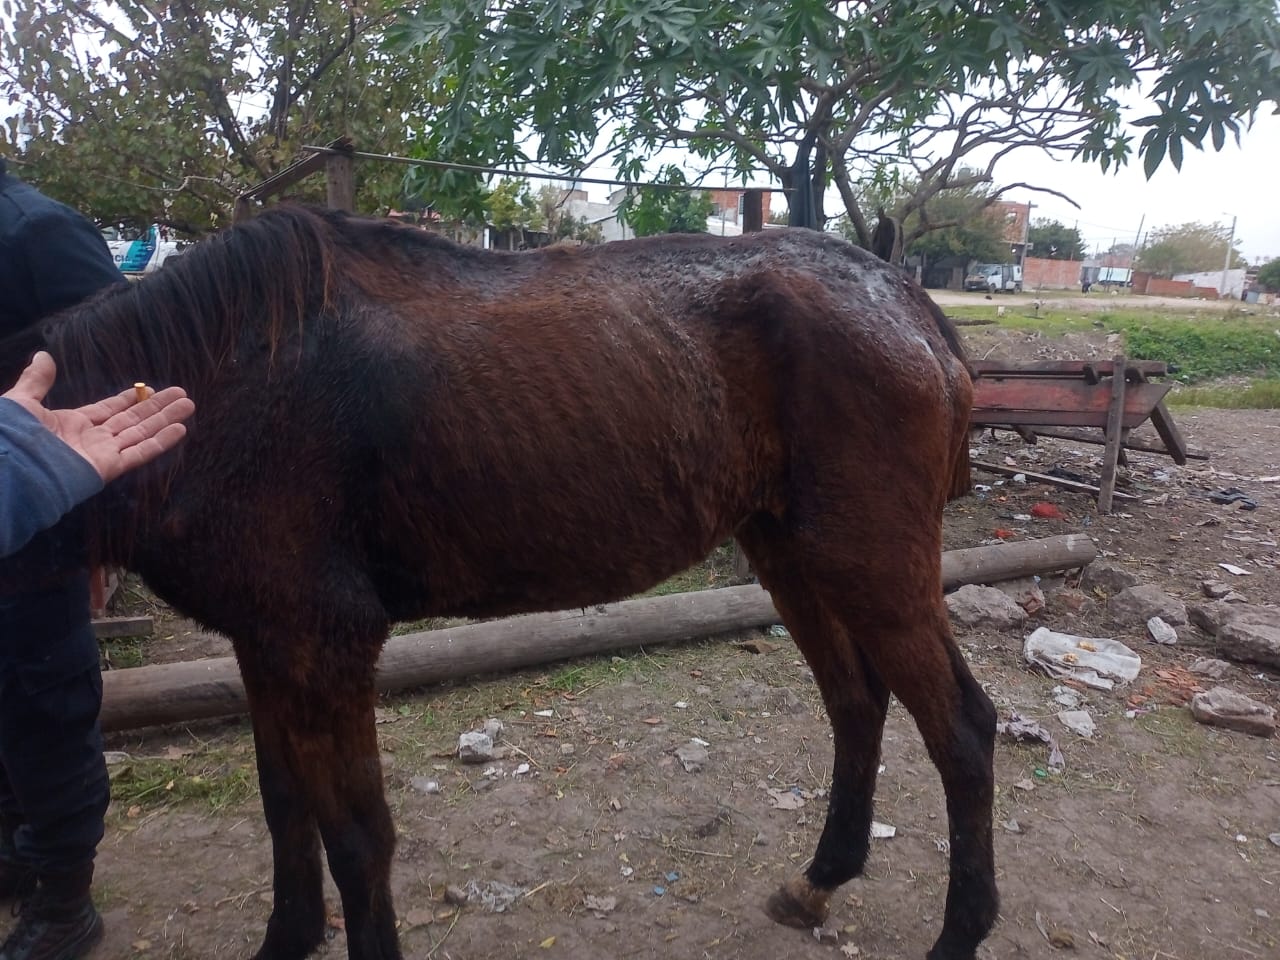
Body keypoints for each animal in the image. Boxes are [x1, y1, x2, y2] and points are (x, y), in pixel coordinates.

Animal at [0, 209, 998, 960]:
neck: (223, 382)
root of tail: (906, 300)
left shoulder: (325, 645)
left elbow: (358, 837)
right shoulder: (265, 641)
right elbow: (286, 808)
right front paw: (286, 940)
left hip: (873, 565)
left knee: (962, 728)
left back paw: (960, 932)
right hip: (791, 554)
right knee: (856, 704)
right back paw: (820, 878)